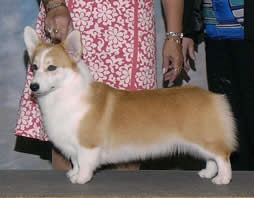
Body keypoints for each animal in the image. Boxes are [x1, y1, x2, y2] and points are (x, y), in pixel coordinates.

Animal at [24, 25, 237, 184]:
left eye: (52, 67)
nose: (33, 86)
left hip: (204, 138)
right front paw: (73, 175)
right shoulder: (73, 145)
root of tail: (212, 96)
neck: (63, 94)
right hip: (200, 141)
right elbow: (75, 162)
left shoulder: (87, 145)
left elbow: (84, 163)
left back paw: (223, 179)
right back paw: (207, 173)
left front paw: (81, 179)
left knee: (222, 156)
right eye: (34, 67)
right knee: (211, 159)